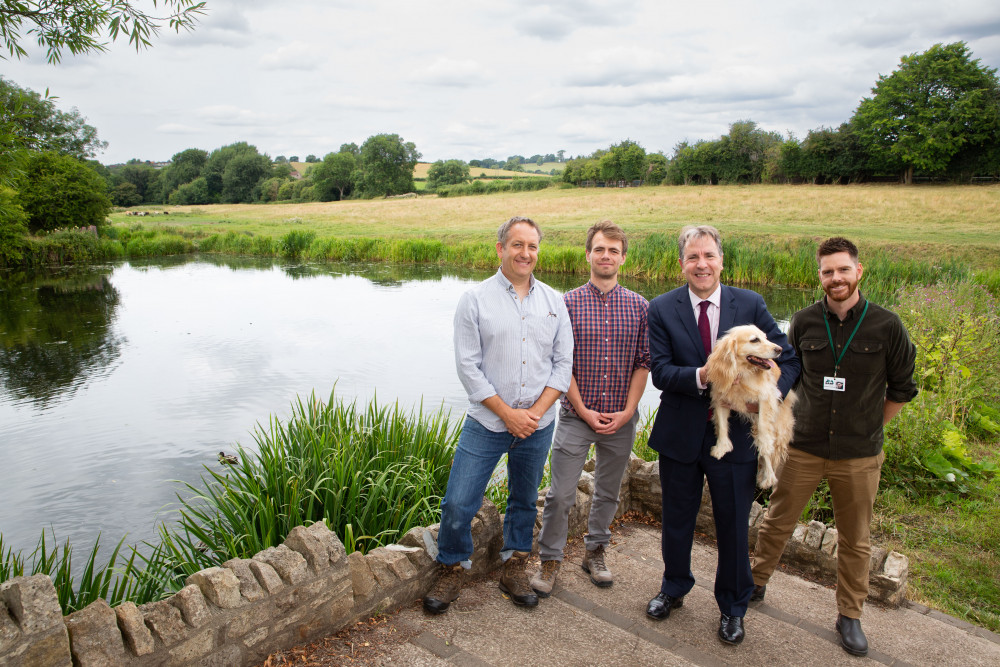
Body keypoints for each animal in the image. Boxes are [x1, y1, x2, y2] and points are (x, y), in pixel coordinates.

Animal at [704, 326, 796, 488]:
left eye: (766, 337)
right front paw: (722, 447)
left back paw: (768, 477)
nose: (779, 349)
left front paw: (765, 447)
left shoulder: (766, 396)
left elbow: (764, 429)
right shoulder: (720, 398)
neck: (742, 371)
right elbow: (722, 425)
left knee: (767, 450)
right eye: (754, 340)